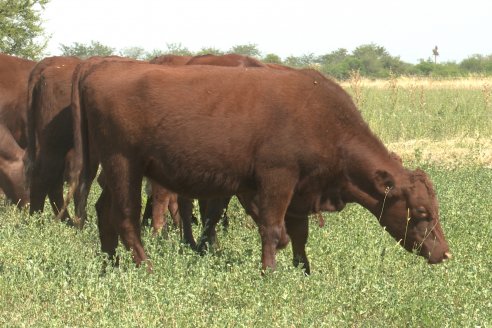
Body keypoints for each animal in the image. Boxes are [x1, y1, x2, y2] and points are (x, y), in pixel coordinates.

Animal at [70, 60, 454, 272]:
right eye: (421, 212)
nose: (445, 253)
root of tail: (100, 67)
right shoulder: (277, 180)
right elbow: (271, 229)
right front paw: (270, 274)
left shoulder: (301, 190)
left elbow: (298, 234)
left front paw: (304, 272)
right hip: (124, 165)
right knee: (125, 218)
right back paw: (146, 268)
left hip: (113, 171)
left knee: (104, 212)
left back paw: (109, 265)